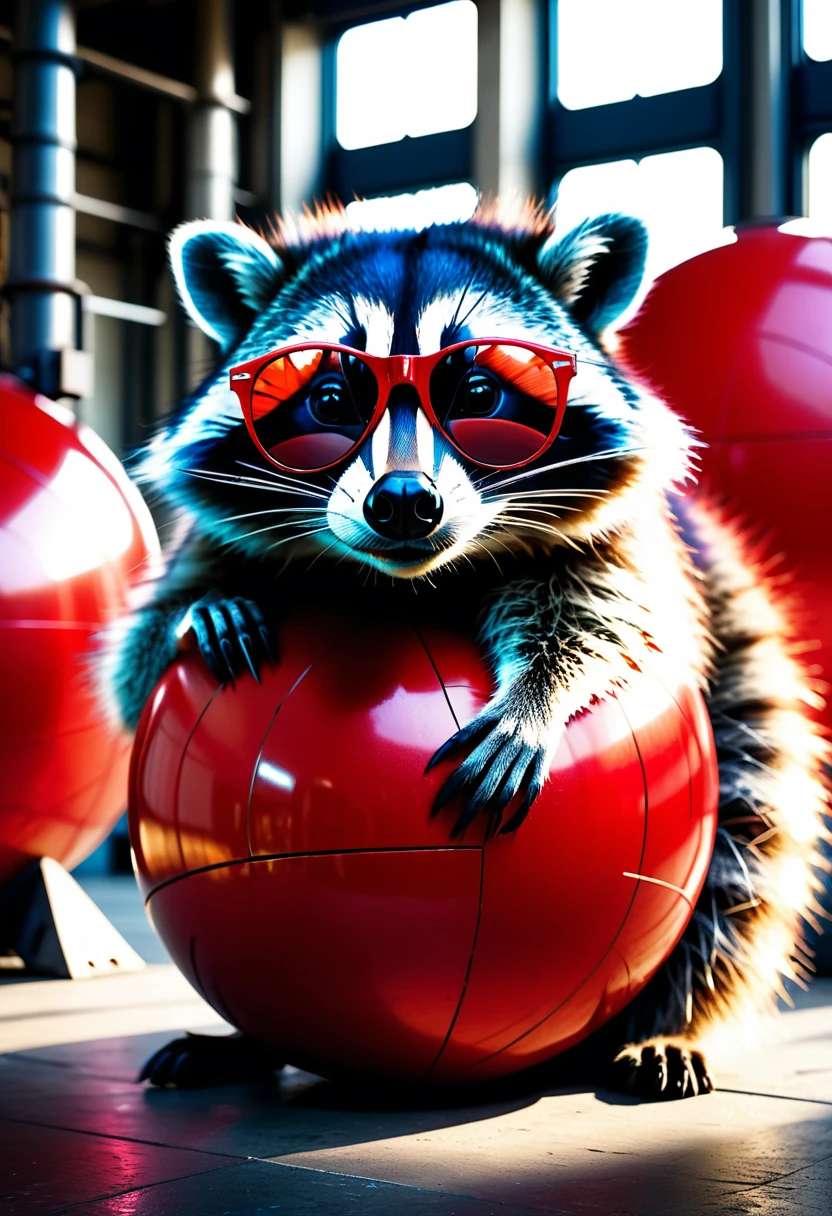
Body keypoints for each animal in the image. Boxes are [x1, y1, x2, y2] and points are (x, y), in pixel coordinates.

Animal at [107, 206, 827, 1104]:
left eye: (480, 393)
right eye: (329, 397)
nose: (402, 502)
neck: (413, 581)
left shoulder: (638, 553)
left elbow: (610, 618)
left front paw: (537, 696)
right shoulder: (208, 545)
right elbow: (137, 663)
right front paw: (196, 615)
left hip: (747, 693)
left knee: (748, 850)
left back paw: (669, 1024)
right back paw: (245, 1043)